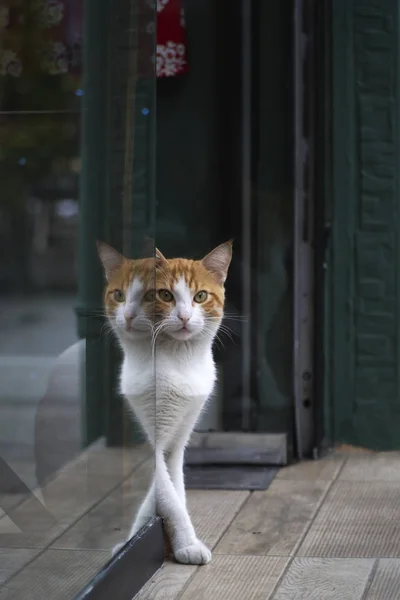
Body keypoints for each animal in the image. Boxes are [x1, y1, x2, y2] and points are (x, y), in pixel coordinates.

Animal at [97, 238, 234, 564]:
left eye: (200, 296)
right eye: (165, 295)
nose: (184, 317)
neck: (179, 360)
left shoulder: (181, 434)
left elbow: (174, 484)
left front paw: (175, 540)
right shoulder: (154, 436)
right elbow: (166, 492)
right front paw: (182, 542)